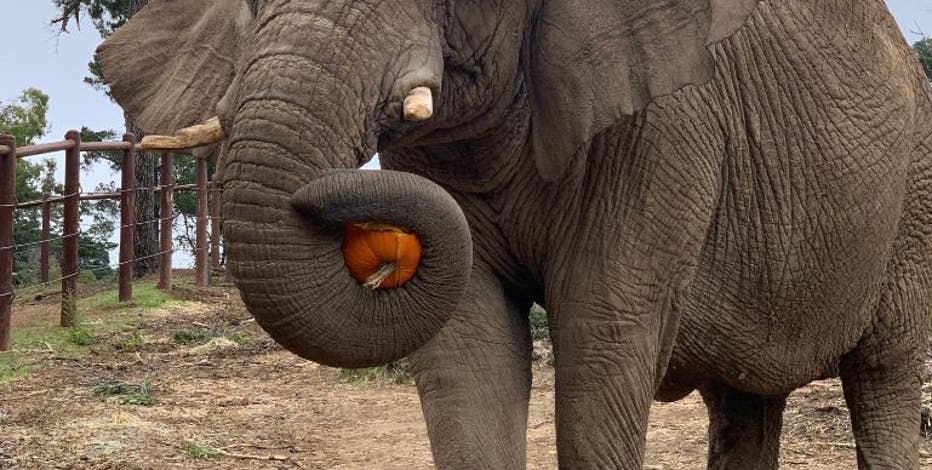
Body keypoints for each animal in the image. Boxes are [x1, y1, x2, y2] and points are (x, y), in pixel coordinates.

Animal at [96, 0, 932, 468]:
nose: (368, 240)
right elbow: (468, 355)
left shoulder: (668, 126)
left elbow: (601, 348)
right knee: (743, 404)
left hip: (913, 201)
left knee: (884, 380)